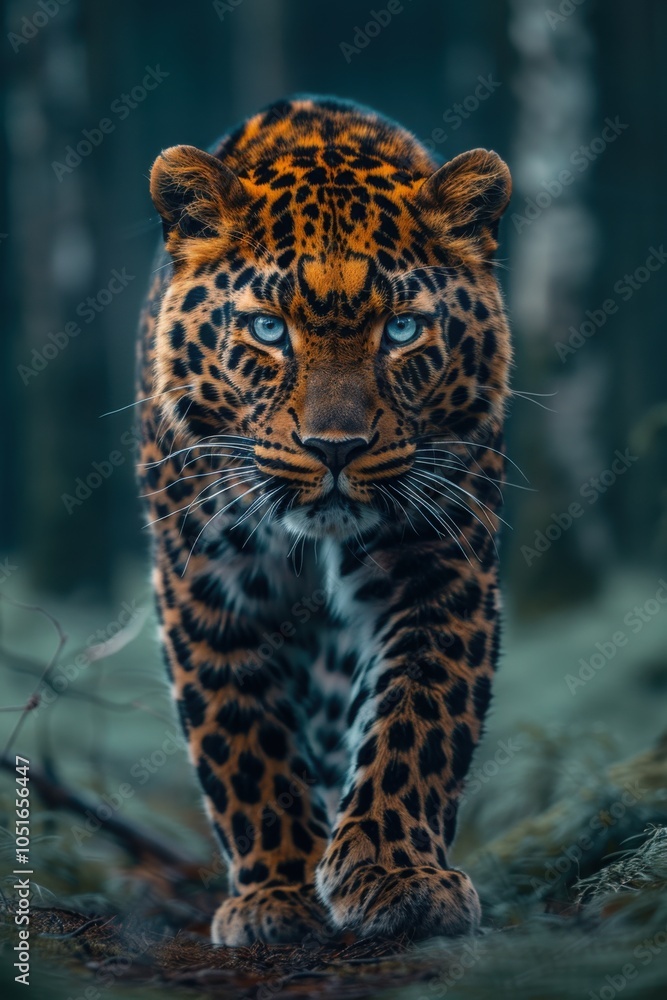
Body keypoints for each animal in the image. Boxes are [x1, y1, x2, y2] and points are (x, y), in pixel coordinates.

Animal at [136, 95, 512, 946]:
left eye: (400, 329)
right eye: (268, 330)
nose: (333, 448)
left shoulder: (442, 568)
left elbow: (417, 719)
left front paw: (397, 876)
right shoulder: (207, 587)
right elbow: (245, 744)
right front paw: (278, 892)